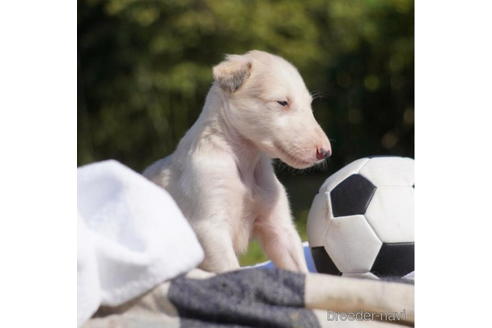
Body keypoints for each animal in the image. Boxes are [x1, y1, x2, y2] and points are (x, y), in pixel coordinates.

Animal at [144, 50, 332, 272]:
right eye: (282, 102)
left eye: (309, 104)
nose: (325, 152)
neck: (244, 163)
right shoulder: (211, 229)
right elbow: (230, 270)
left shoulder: (278, 226)